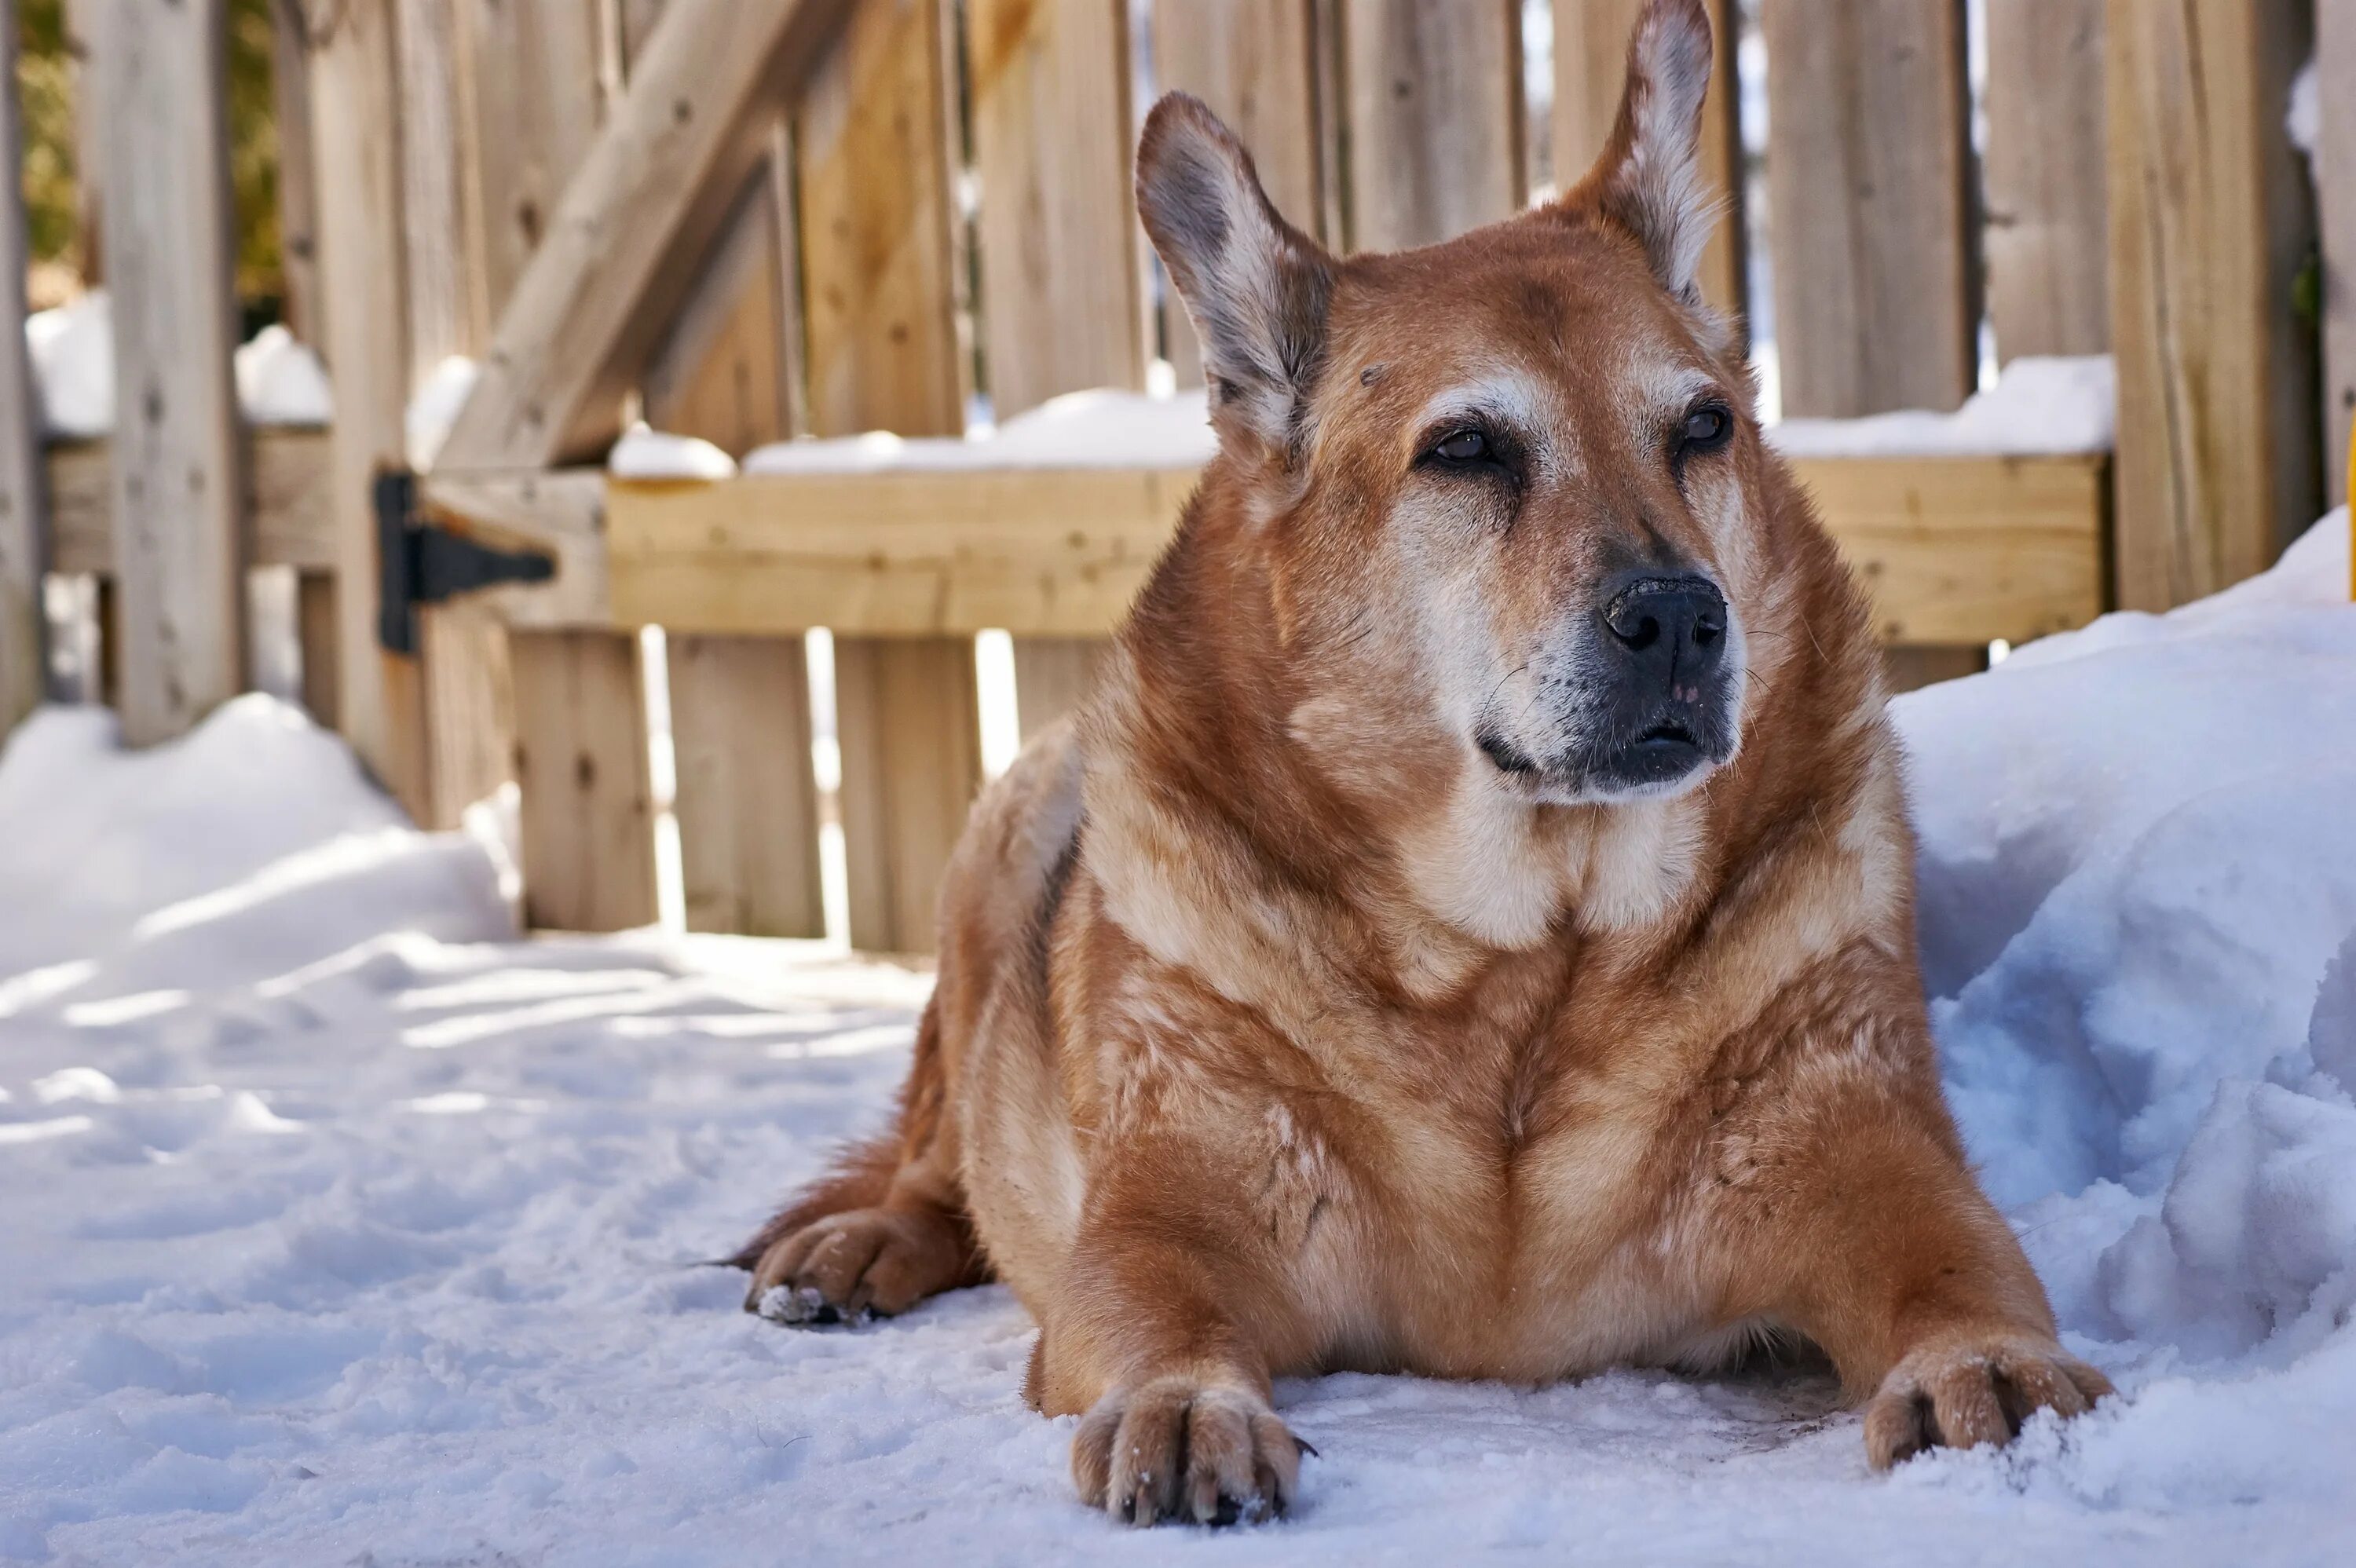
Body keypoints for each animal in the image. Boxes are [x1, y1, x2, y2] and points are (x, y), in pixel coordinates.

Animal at [726, 0, 2111, 1516]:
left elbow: (1957, 1261)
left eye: (1703, 430)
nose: (1684, 618)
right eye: (1466, 450)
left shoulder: (1870, 1150)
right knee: (939, 1151)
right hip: (998, 851)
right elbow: (1152, 1301)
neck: (1528, 959)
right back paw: (860, 1242)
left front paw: (1986, 1362)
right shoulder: (1170, 1207)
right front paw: (1185, 1402)